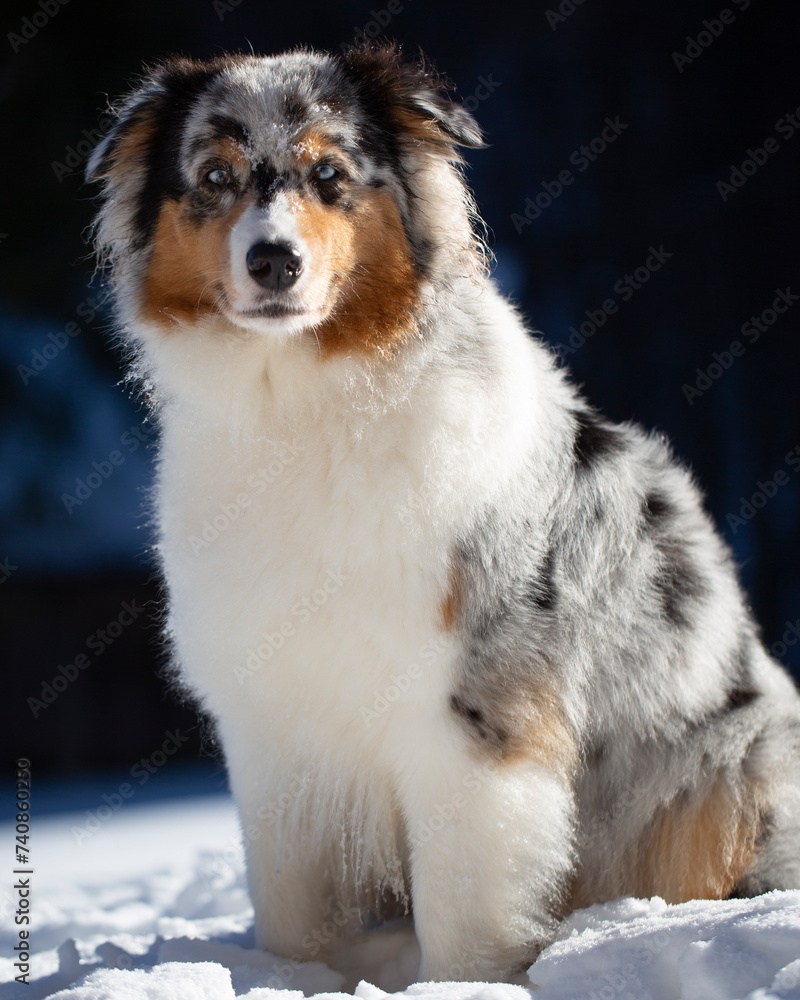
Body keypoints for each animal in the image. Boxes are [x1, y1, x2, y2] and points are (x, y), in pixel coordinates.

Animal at [87, 45, 800, 984]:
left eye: (328, 174)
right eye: (214, 177)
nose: (273, 261)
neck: (305, 401)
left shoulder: (473, 708)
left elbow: (466, 901)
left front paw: (463, 983)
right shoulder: (275, 718)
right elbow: (290, 906)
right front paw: (294, 979)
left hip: (728, 759)